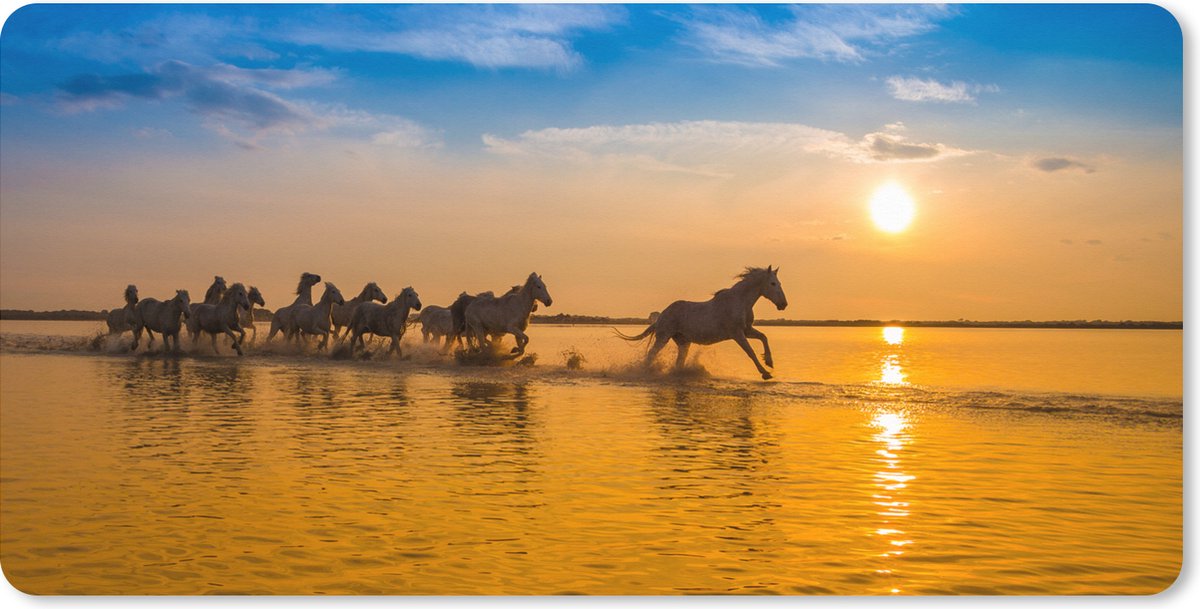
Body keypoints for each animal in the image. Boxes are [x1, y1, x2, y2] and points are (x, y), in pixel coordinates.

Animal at [616, 266, 787, 380]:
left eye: (779, 283)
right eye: (772, 283)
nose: (783, 304)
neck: (740, 302)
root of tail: (661, 316)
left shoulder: (747, 330)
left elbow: (764, 337)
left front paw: (769, 362)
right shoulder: (737, 334)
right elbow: (750, 352)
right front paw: (765, 373)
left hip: (683, 342)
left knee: (678, 362)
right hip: (663, 337)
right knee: (651, 354)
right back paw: (644, 372)